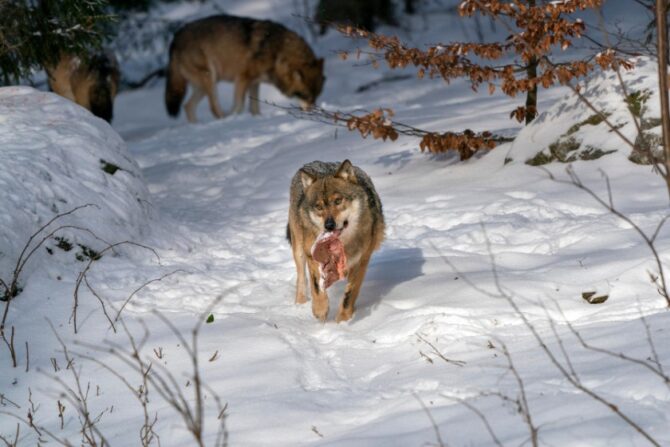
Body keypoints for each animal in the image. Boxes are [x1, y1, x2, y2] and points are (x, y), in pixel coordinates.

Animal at [167, 14, 326, 122]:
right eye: (305, 96)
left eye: (316, 97)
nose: (312, 112)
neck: (277, 51)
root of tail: (176, 37)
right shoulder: (243, 78)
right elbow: (239, 105)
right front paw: (235, 116)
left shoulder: (254, 82)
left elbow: (255, 107)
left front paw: (257, 118)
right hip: (210, 78)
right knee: (213, 108)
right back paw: (224, 119)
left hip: (202, 86)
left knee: (187, 106)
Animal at [288, 160, 386, 322]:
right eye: (319, 206)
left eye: (338, 201)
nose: (329, 225)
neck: (343, 244)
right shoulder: (312, 256)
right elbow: (316, 286)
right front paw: (320, 310)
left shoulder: (361, 261)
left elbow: (350, 295)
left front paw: (343, 321)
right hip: (299, 249)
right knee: (301, 277)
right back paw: (300, 303)